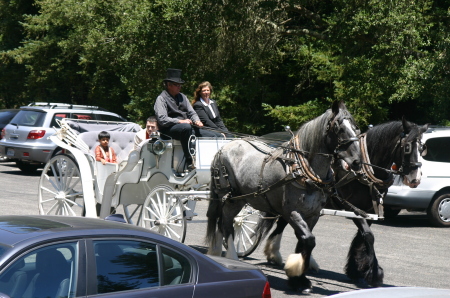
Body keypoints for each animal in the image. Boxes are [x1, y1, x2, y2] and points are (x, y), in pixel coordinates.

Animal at [206, 101, 360, 292]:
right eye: (339, 128)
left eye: (355, 127)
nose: (357, 162)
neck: (303, 171)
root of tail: (224, 147)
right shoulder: (292, 212)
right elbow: (308, 240)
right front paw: (297, 275)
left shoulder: (313, 214)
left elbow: (304, 241)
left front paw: (300, 279)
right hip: (229, 198)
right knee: (226, 224)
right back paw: (232, 259)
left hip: (238, 199)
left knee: (222, 223)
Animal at [258, 117, 428, 288]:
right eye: (407, 147)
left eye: (422, 149)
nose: (415, 179)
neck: (363, 172)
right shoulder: (351, 207)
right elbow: (368, 236)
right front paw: (373, 274)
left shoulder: (367, 211)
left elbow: (362, 238)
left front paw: (357, 271)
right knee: (284, 223)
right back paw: (275, 254)